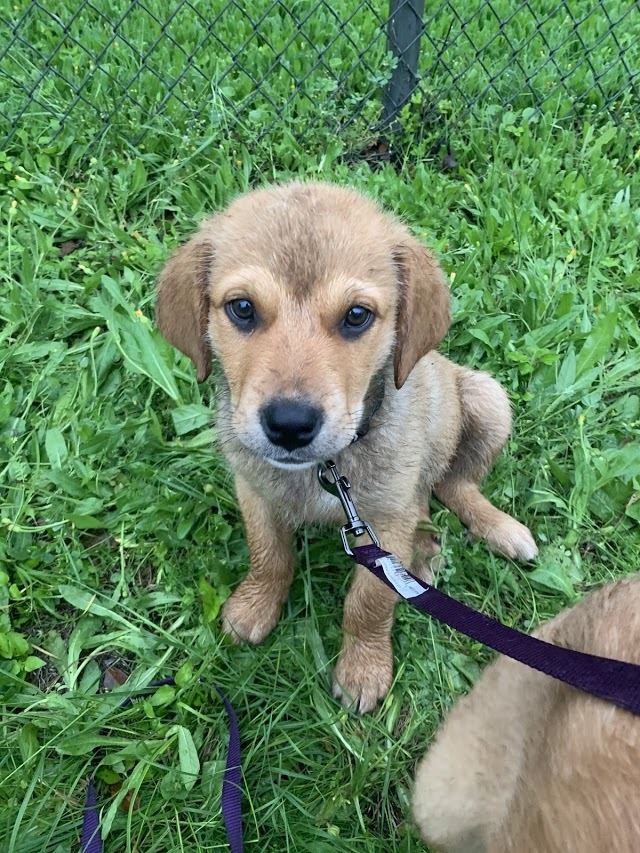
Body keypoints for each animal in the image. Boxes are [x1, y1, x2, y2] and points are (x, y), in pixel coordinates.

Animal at [154, 181, 536, 712]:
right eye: (242, 308)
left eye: (356, 315)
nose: (290, 424)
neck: (327, 470)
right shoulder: (254, 489)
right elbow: (269, 556)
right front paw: (254, 607)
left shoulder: (386, 519)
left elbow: (369, 601)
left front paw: (363, 668)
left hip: (487, 399)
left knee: (454, 485)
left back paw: (488, 532)